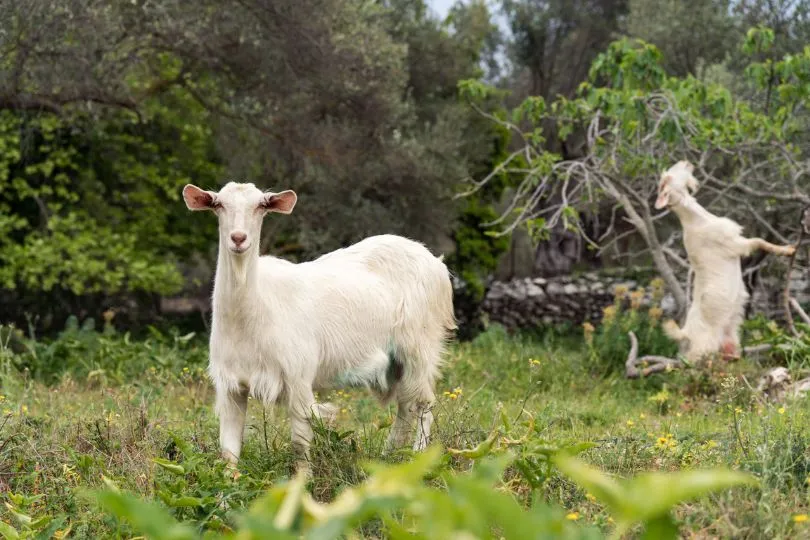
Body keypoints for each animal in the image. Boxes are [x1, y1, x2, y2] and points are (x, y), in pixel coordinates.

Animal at [652, 160, 792, 362]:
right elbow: (759, 241)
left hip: (730, 340)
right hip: (705, 348)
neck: (697, 220)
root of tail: (686, 332)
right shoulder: (734, 244)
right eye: (668, 178)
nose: (686, 162)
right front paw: (788, 249)